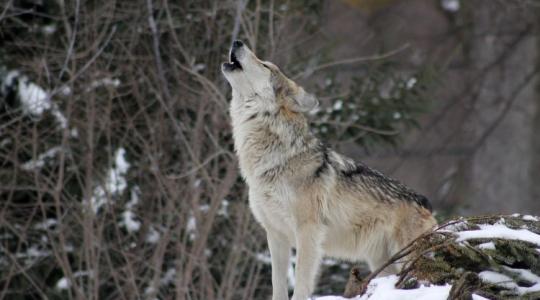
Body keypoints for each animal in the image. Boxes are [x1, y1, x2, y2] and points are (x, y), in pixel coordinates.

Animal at [221, 40, 436, 300]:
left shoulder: (308, 231)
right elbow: (277, 285)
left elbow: (301, 282)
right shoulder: (275, 234)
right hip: (381, 263)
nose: (237, 41)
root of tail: (425, 202)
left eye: (265, 65)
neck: (274, 159)